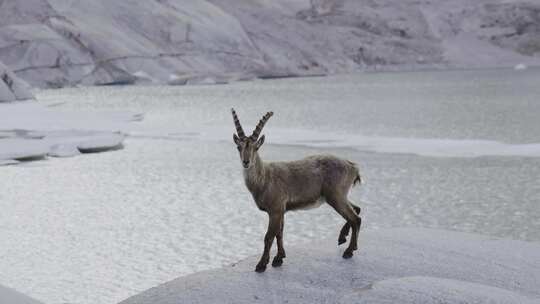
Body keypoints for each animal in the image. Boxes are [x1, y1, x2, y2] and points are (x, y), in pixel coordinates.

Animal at [232, 108, 362, 272]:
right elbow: (279, 234)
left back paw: (348, 250)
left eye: (256, 147)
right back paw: (343, 238)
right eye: (239, 147)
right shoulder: (281, 210)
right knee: (356, 209)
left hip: (335, 196)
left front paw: (261, 264)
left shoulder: (275, 209)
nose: (246, 162)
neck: (264, 178)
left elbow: (269, 236)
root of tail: (352, 166)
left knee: (355, 218)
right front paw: (279, 258)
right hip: (339, 195)